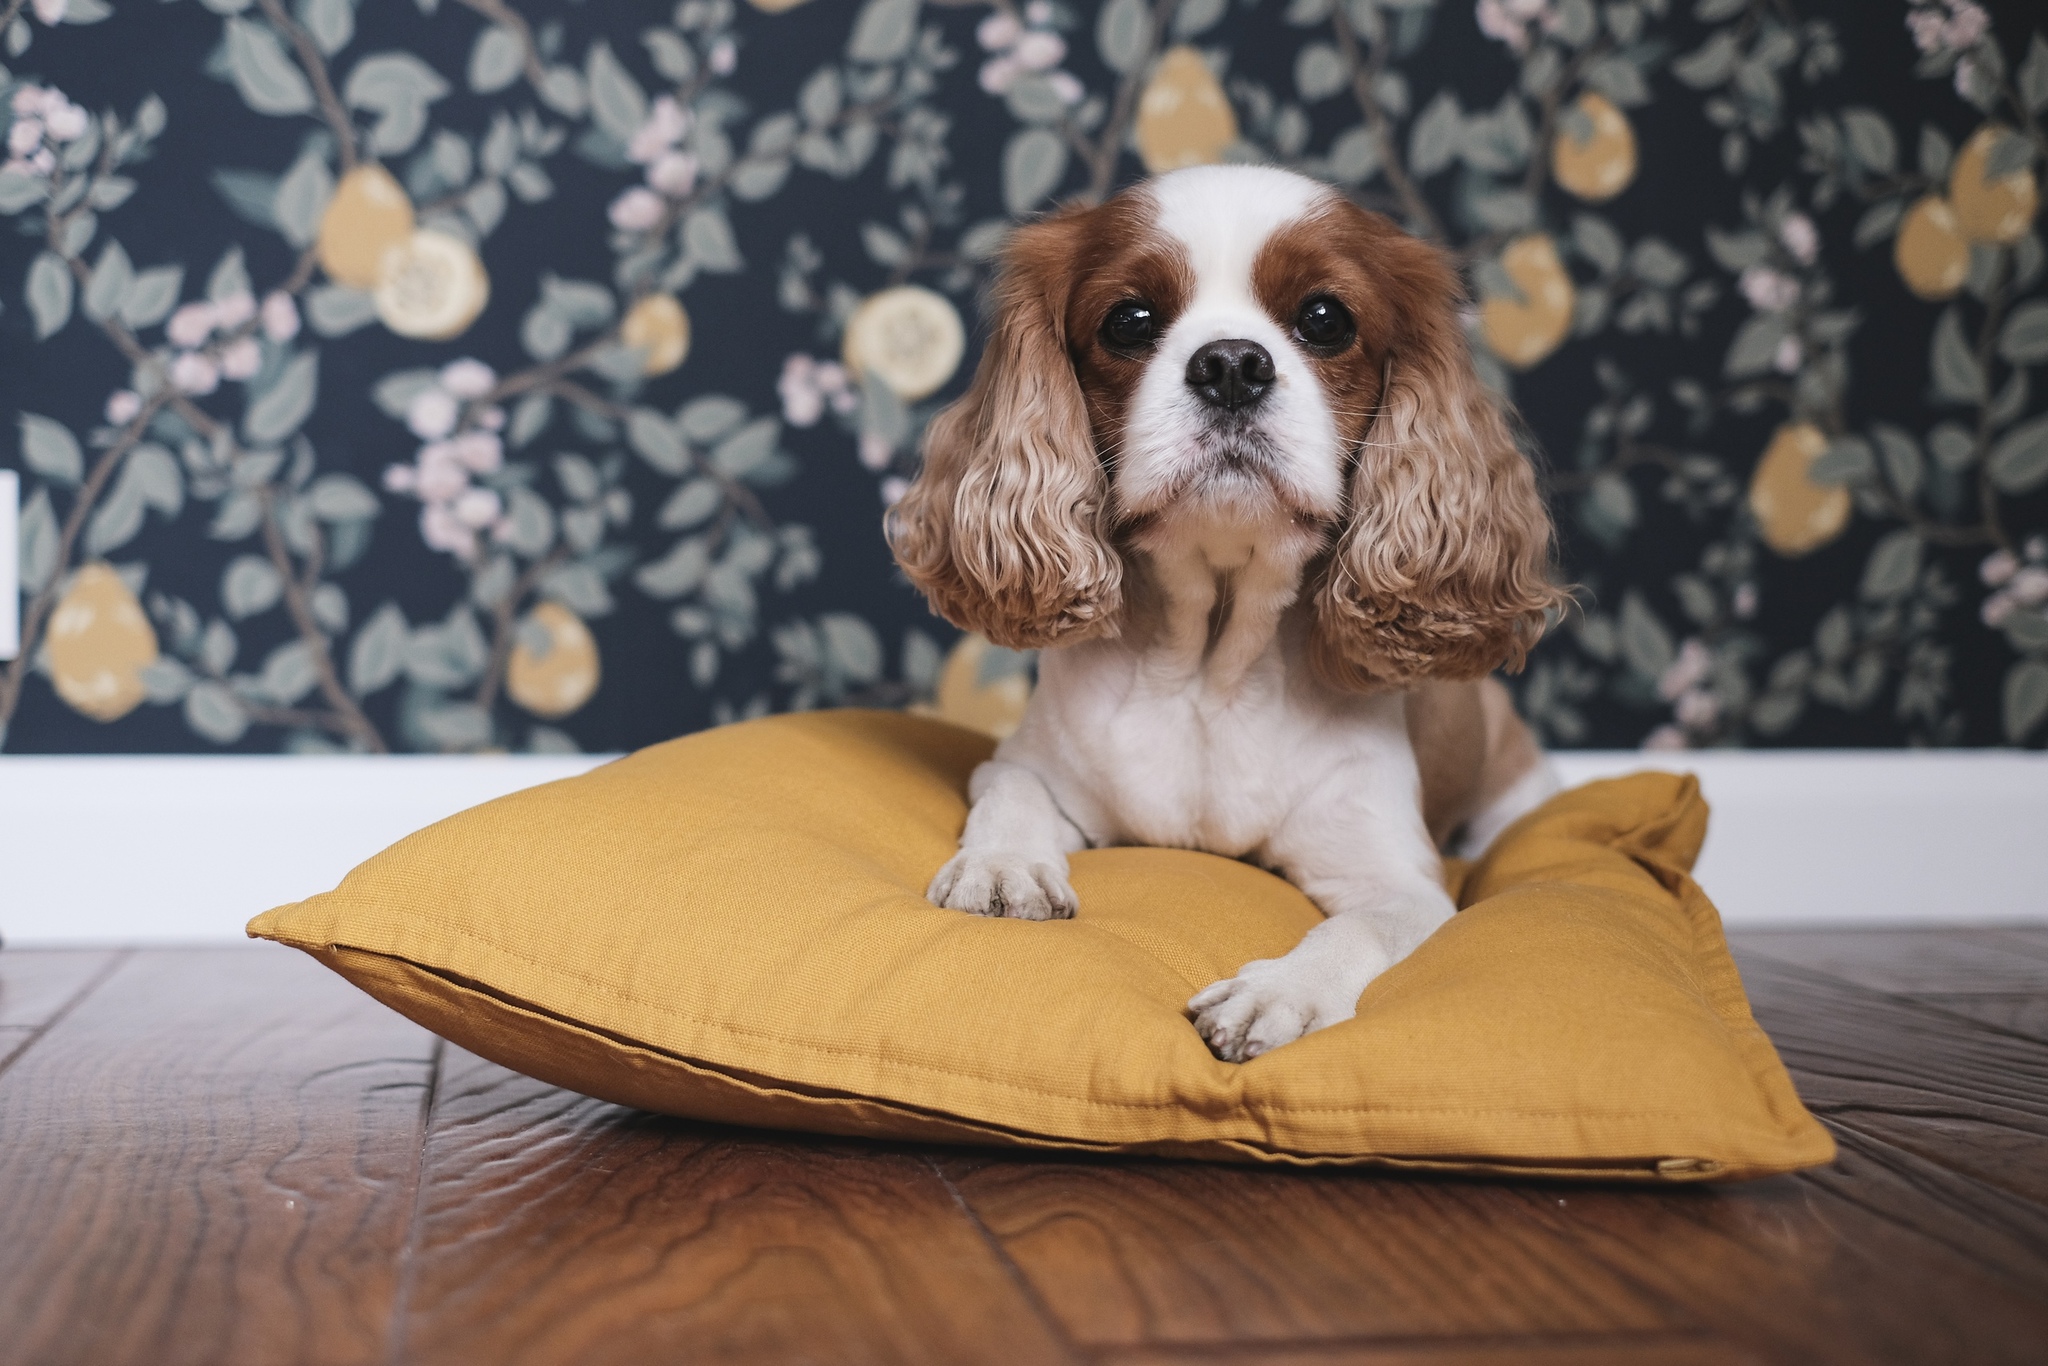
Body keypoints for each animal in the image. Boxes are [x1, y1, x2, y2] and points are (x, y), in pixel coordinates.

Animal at [884, 165, 1564, 1064]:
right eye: (1130, 321)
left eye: (1325, 319)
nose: (1232, 364)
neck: (1213, 662)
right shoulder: (1031, 765)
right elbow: (1011, 793)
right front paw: (1003, 864)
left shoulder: (1399, 883)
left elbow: (1358, 930)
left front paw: (1280, 992)